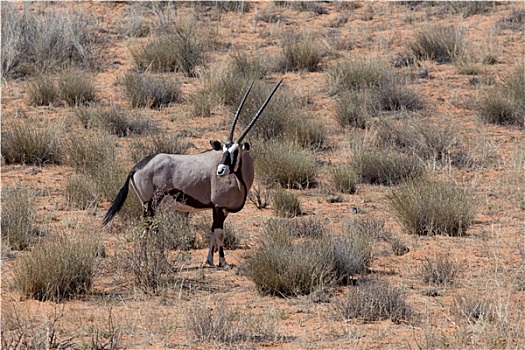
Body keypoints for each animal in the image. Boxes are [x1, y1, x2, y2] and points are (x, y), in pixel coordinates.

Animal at [102, 79, 282, 266]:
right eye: (224, 150)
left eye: (235, 151)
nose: (220, 170)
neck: (240, 179)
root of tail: (137, 167)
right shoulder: (218, 207)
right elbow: (219, 233)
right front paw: (222, 262)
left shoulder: (222, 210)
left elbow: (212, 232)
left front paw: (210, 261)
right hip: (151, 203)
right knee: (150, 226)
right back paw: (154, 261)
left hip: (147, 205)